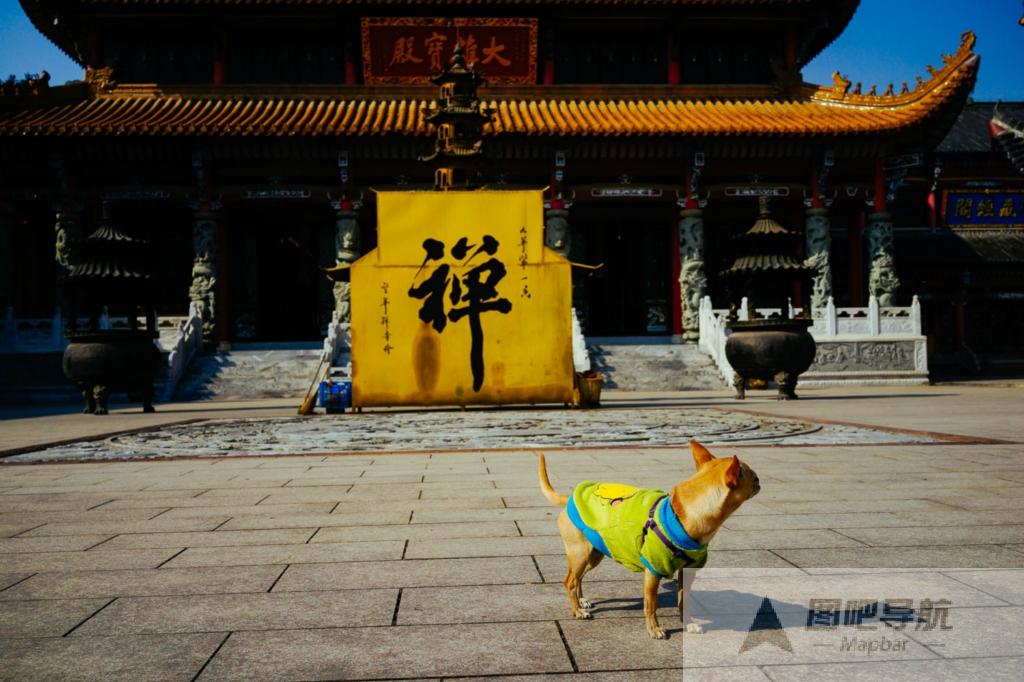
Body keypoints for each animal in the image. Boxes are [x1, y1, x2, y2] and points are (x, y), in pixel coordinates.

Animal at [540, 438, 757, 634]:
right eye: (754, 478)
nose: (760, 480)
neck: (684, 514)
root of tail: (569, 498)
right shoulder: (653, 570)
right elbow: (651, 604)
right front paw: (654, 629)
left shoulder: (687, 572)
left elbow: (684, 601)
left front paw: (688, 623)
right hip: (581, 553)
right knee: (569, 581)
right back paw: (577, 611)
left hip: (594, 553)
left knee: (578, 578)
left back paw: (582, 601)